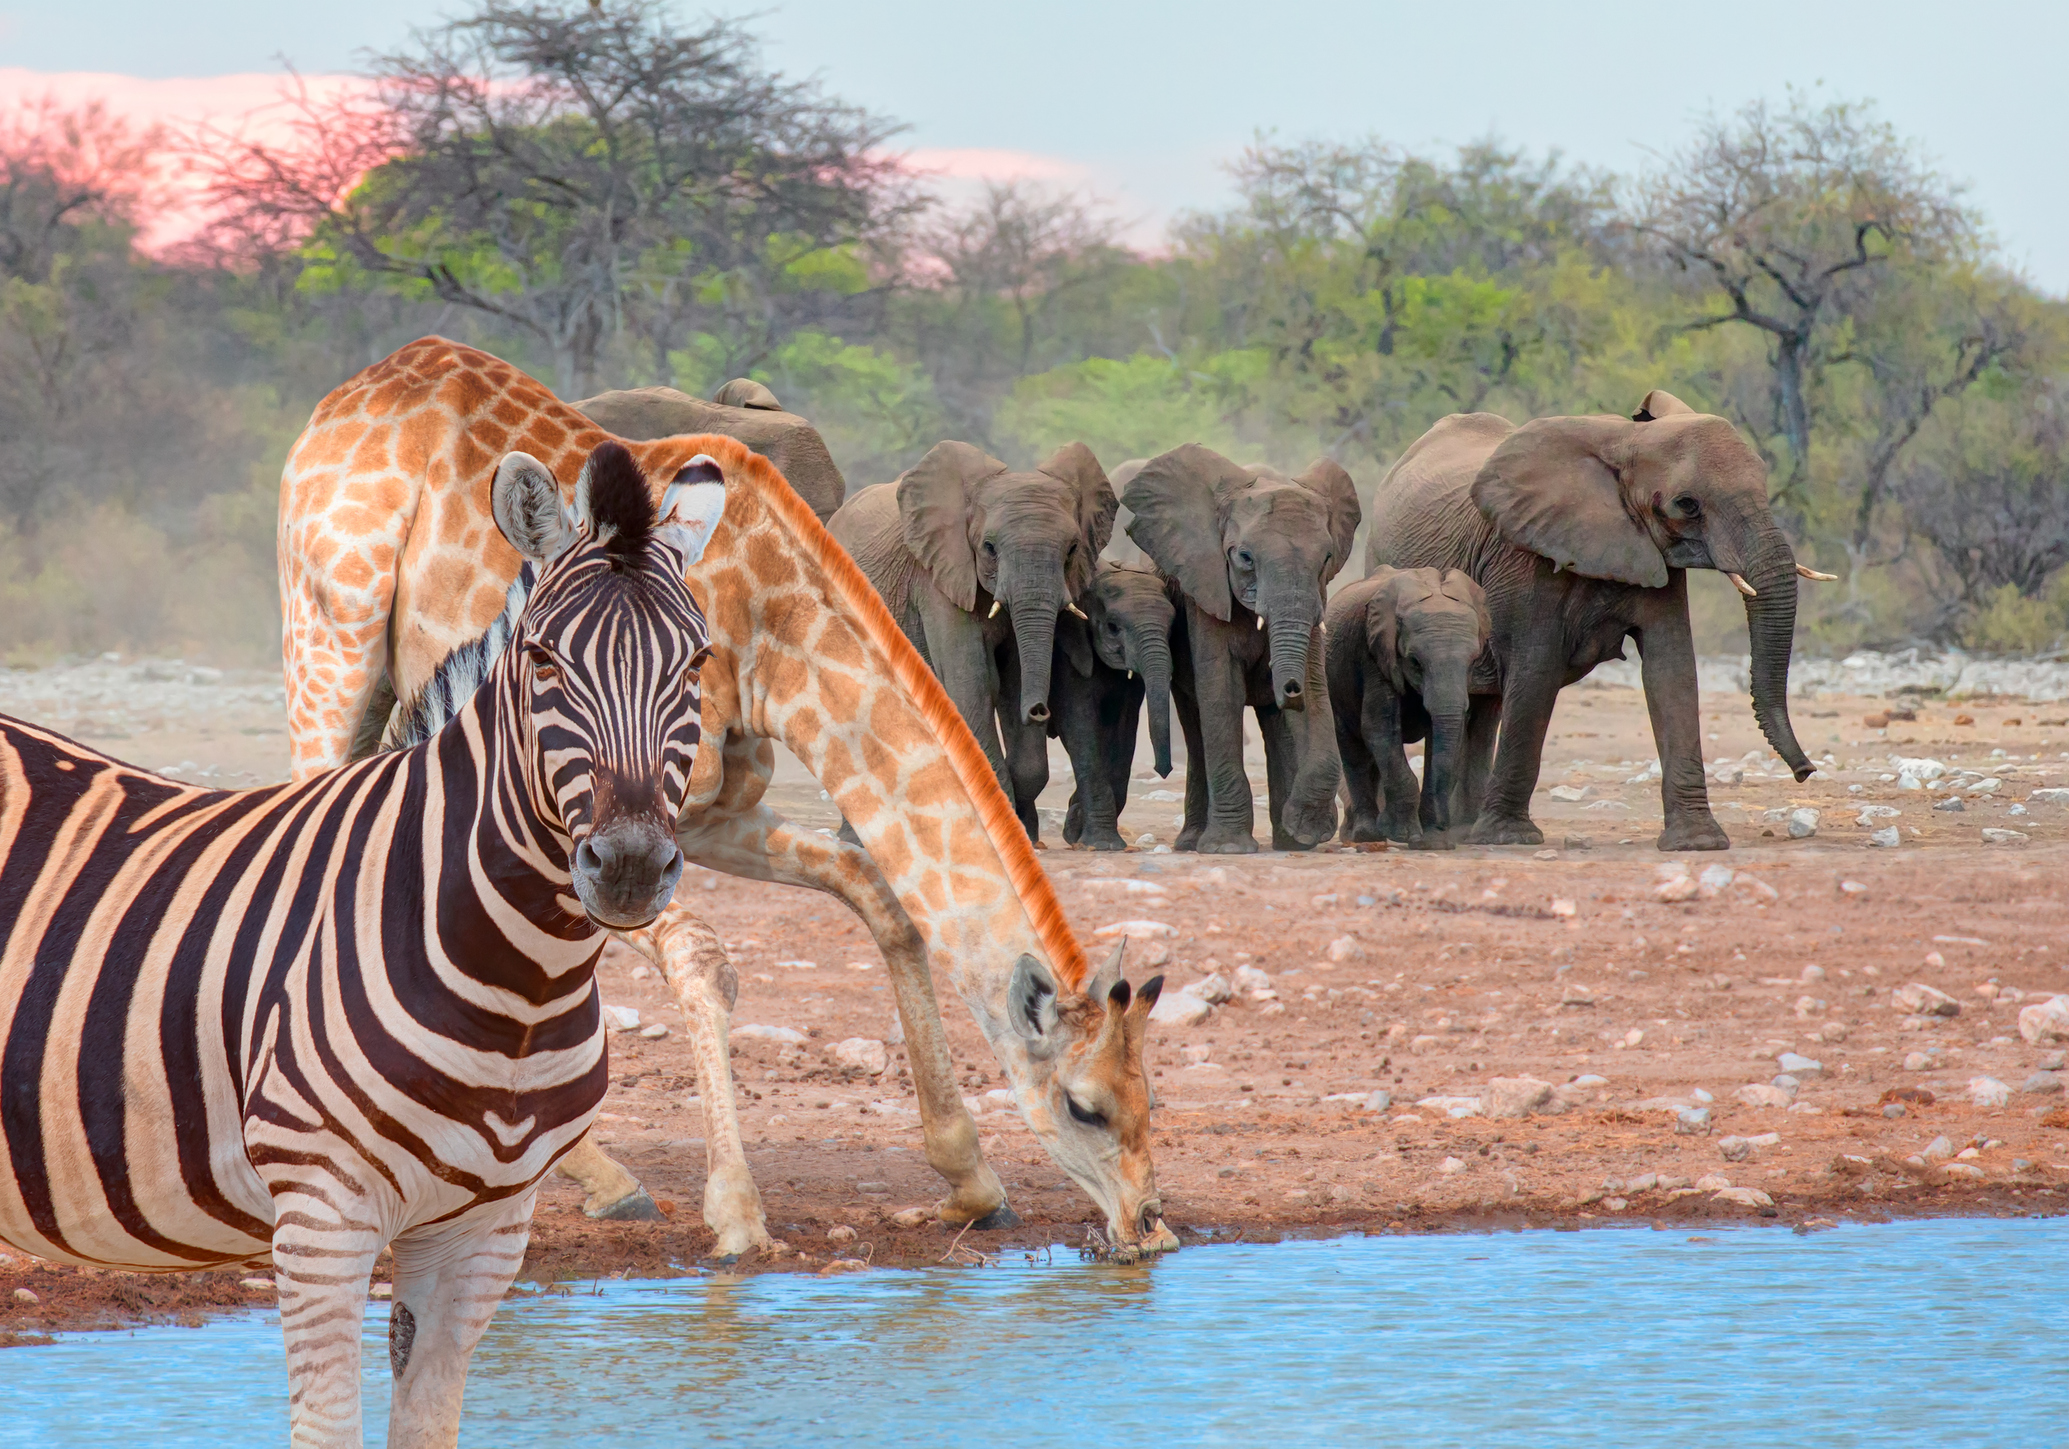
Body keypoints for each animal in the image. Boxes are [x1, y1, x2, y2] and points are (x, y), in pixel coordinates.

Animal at [0, 440, 724, 1448]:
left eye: (696, 662)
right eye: (543, 659)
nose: (626, 865)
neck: (522, 990)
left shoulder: (485, 1230)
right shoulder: (321, 1212)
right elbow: (326, 1425)